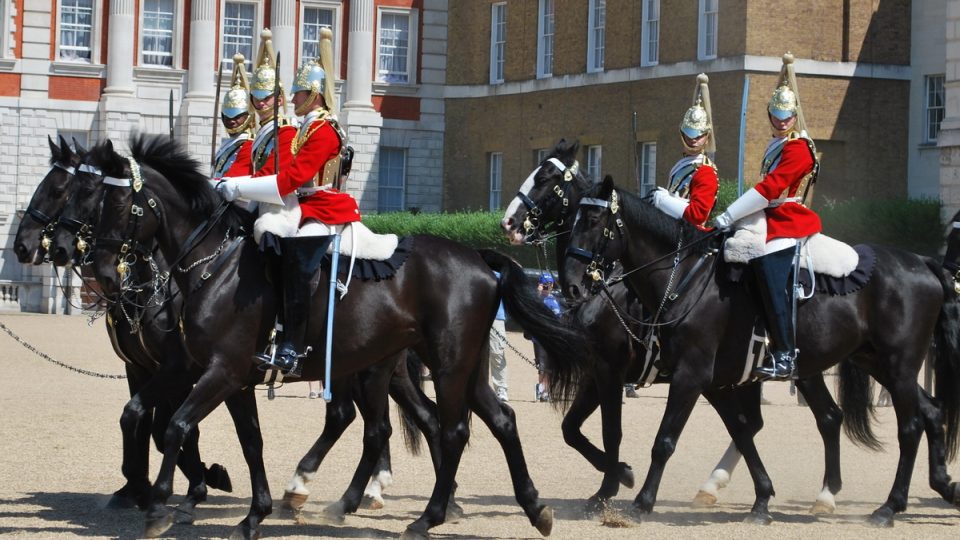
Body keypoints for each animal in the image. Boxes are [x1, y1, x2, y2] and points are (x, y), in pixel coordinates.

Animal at [14, 135, 234, 520]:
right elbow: (145, 423)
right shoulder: (140, 367)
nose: (23, 246)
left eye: (62, 190)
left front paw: (197, 481)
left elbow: (164, 425)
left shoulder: (179, 369)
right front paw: (137, 487)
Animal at [56, 132, 588, 540]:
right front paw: (252, 514)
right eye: (88, 199)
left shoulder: (218, 372)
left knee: (449, 428)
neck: (214, 264)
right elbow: (245, 440)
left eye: (118, 201)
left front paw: (163, 504)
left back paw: (426, 517)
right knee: (496, 421)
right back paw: (532, 507)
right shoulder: (226, 377)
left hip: (445, 364)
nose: (101, 274)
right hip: (443, 366)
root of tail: (479, 257)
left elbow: (176, 426)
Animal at [502, 139, 848, 516]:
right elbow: (572, 430)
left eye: (544, 179)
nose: (508, 222)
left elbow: (611, 432)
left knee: (816, 418)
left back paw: (821, 496)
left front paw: (615, 483)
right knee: (799, 420)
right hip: (761, 373)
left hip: (794, 369)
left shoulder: (612, 370)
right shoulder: (597, 372)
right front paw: (616, 479)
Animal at [564, 175, 960, 524]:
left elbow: (660, 440)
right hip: (873, 362)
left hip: (898, 364)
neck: (684, 279)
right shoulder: (713, 382)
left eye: (594, 221)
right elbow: (741, 432)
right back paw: (935, 487)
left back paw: (889, 507)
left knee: (909, 425)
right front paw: (762, 500)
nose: (570, 285)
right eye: (571, 220)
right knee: (920, 412)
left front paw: (638, 500)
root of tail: (921, 261)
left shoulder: (685, 375)